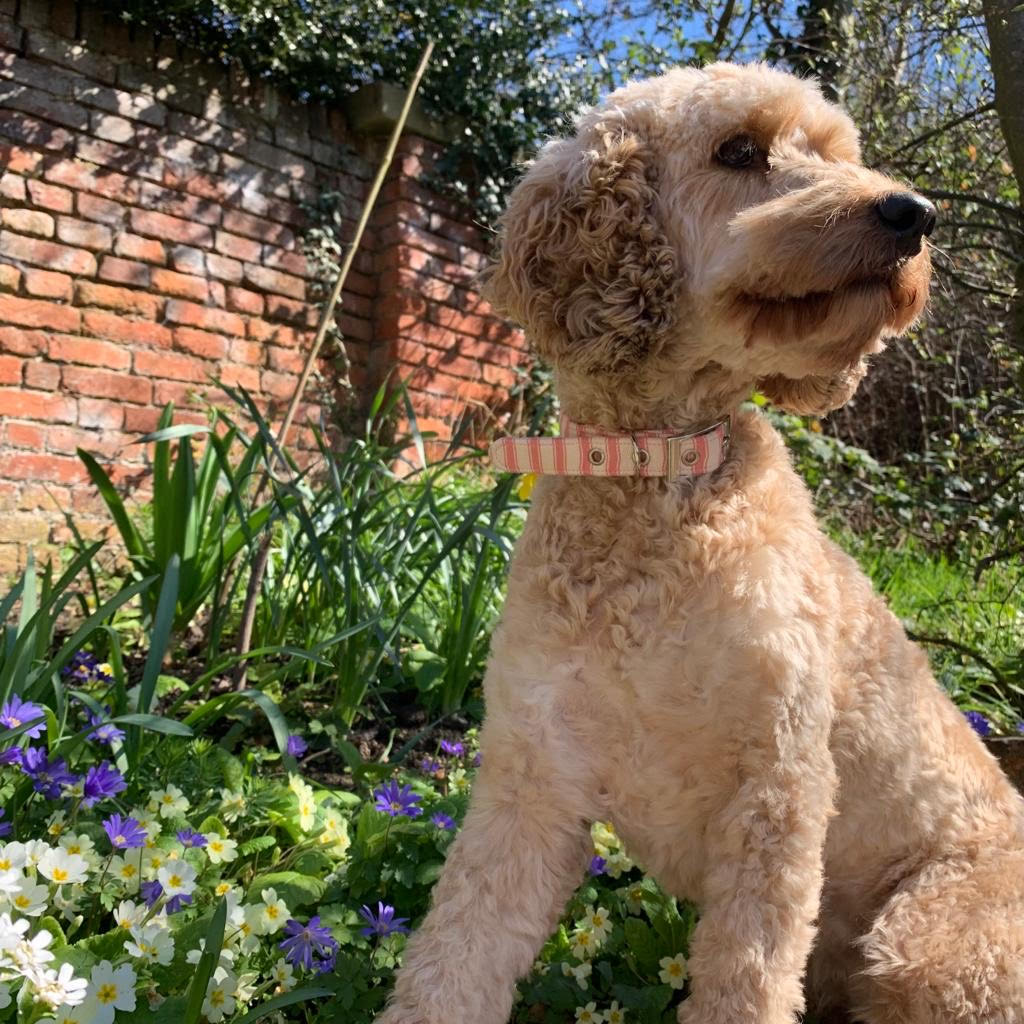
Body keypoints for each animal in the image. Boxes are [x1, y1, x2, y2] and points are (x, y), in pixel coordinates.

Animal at [374, 61, 1024, 1024]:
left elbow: (747, 983)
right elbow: (454, 960)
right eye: (738, 151)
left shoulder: (778, 793)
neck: (655, 485)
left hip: (934, 948)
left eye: (837, 153)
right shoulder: (531, 781)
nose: (914, 214)